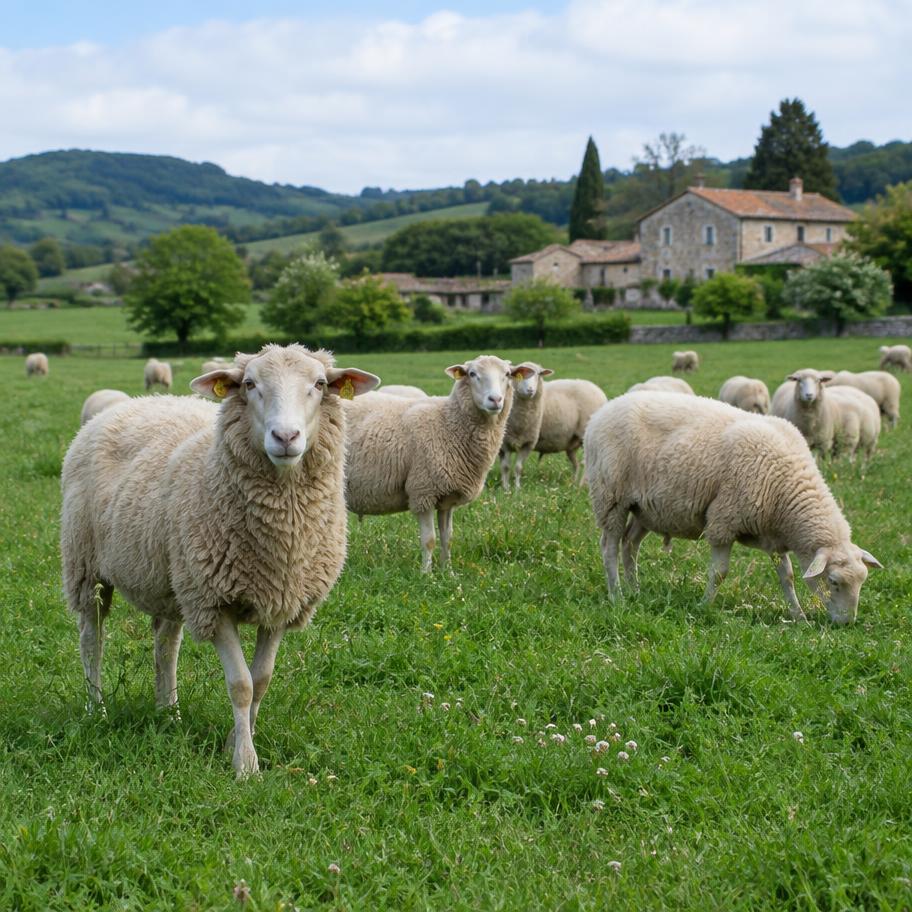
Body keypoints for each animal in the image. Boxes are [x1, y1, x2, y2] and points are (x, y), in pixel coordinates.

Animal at [60, 344, 380, 777]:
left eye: (319, 384)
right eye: (249, 384)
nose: (285, 437)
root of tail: (133, 403)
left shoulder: (280, 602)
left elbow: (261, 680)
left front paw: (237, 740)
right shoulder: (214, 602)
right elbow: (240, 685)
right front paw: (245, 765)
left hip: (174, 579)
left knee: (166, 644)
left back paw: (169, 712)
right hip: (86, 566)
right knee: (92, 638)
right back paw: (97, 708)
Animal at [343, 355, 518, 572]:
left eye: (508, 374)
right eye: (472, 374)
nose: (495, 399)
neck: (447, 422)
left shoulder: (448, 497)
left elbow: (447, 538)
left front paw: (448, 572)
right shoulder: (423, 491)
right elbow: (429, 540)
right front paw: (426, 574)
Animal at [499, 361, 553, 490]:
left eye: (539, 374)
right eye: (520, 376)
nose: (530, 389)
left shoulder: (527, 444)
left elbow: (518, 467)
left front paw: (517, 488)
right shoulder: (505, 443)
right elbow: (506, 466)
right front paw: (506, 488)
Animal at [584, 392, 882, 623]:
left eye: (862, 581)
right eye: (833, 582)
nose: (847, 623)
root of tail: (600, 413)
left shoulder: (773, 536)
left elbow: (786, 577)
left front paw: (799, 616)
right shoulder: (723, 522)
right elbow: (719, 573)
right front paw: (703, 606)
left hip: (645, 509)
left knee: (629, 545)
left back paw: (635, 590)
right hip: (611, 497)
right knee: (609, 547)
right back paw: (617, 595)